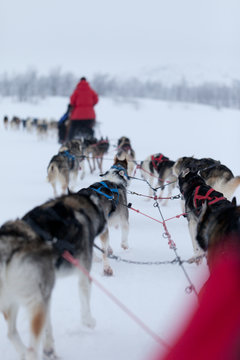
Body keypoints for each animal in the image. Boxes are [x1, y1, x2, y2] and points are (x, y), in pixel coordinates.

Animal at [0, 158, 129, 360]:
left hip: (19, 299)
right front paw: (89, 321)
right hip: (36, 299)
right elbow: (85, 304)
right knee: (31, 347)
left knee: (12, 333)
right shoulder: (84, 272)